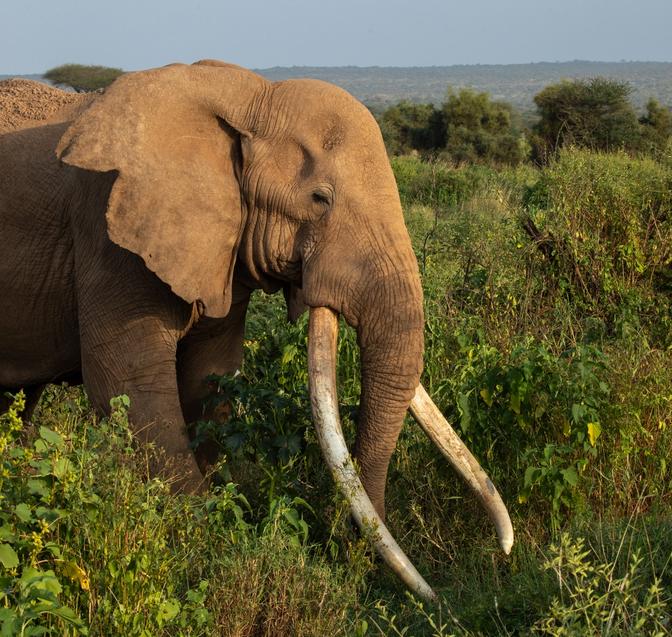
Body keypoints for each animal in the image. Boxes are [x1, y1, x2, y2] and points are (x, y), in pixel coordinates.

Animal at [0, 61, 512, 600]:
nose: (502, 551)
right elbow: (131, 391)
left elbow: (210, 381)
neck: (250, 99)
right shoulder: (108, 229)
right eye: (320, 198)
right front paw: (209, 538)